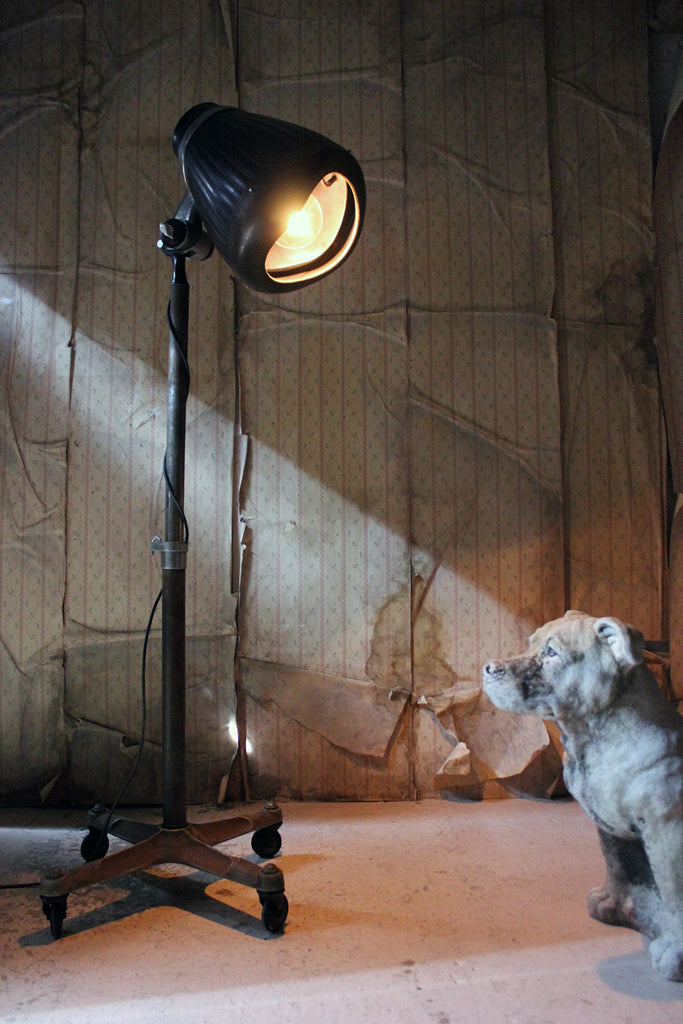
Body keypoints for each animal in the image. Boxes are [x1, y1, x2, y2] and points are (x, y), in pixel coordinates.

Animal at [482, 610, 683, 981]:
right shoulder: (609, 827)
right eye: (530, 643)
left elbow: (674, 894)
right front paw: (614, 907)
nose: (489, 668)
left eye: (551, 653)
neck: (589, 739)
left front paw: (674, 955)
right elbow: (618, 866)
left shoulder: (667, 833)